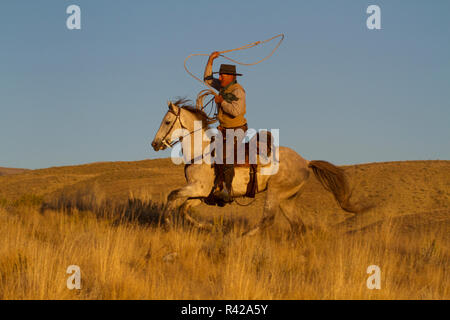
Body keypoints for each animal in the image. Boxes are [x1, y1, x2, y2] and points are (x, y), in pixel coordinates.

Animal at [149, 98, 360, 235]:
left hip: (275, 191)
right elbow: (184, 208)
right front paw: (210, 227)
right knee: (297, 225)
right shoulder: (201, 193)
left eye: (167, 121)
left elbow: (172, 196)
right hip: (287, 198)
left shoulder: (197, 187)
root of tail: (305, 161)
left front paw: (166, 224)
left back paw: (242, 238)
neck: (201, 151)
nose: (155, 144)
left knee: (268, 219)